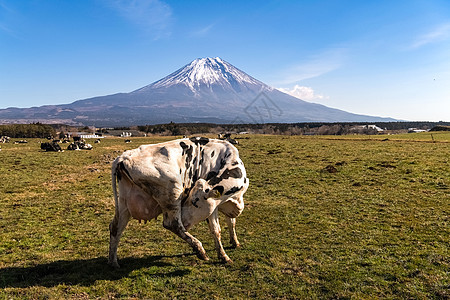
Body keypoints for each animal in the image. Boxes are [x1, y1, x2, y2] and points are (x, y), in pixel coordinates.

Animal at [109, 137, 250, 268]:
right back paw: (200, 250)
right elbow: (216, 230)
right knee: (173, 224)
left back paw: (114, 262)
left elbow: (231, 222)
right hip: (173, 193)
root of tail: (124, 157)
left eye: (193, 201)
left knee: (115, 227)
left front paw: (235, 242)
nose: (185, 221)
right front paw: (224, 256)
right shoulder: (212, 206)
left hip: (124, 204)